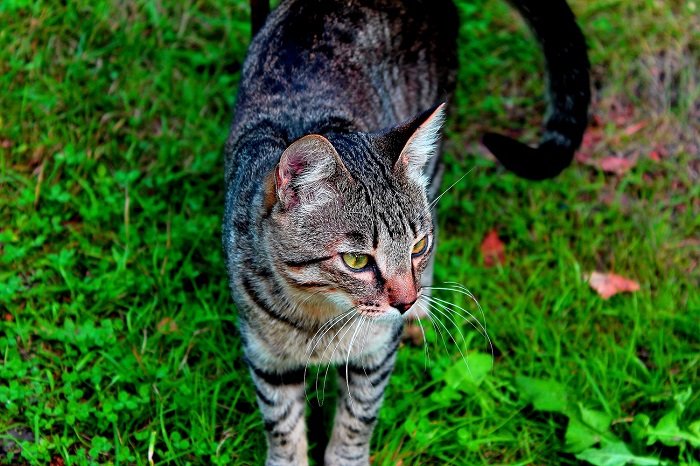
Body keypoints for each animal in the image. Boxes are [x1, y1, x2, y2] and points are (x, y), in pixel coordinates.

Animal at [223, 0, 592, 462]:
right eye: (356, 260)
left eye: (418, 246)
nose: (404, 300)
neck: (317, 316)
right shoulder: (265, 357)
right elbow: (282, 424)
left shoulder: (376, 353)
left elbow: (357, 417)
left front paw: (347, 457)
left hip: (433, 154)